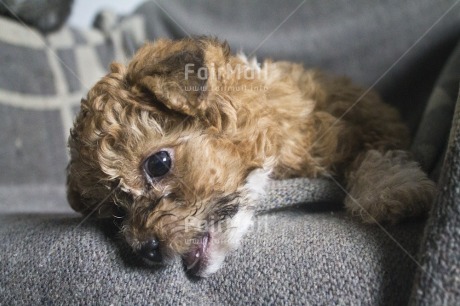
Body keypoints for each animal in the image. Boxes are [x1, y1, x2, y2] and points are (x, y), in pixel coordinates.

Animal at [65, 36, 434, 278]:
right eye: (117, 212)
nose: (146, 249)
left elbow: (372, 151)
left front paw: (390, 187)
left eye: (158, 164)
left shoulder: (371, 120)